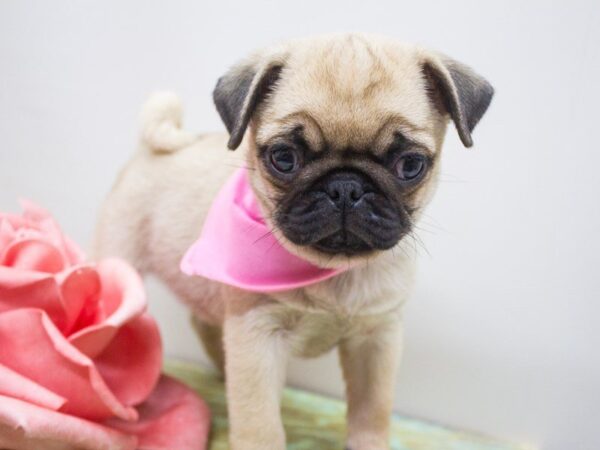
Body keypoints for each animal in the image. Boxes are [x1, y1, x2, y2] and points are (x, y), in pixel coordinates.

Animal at [94, 33, 492, 448]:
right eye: (284, 158)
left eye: (410, 165)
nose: (346, 186)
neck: (330, 271)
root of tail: (153, 146)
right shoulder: (256, 337)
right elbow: (261, 425)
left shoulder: (377, 338)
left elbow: (373, 411)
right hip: (121, 259)